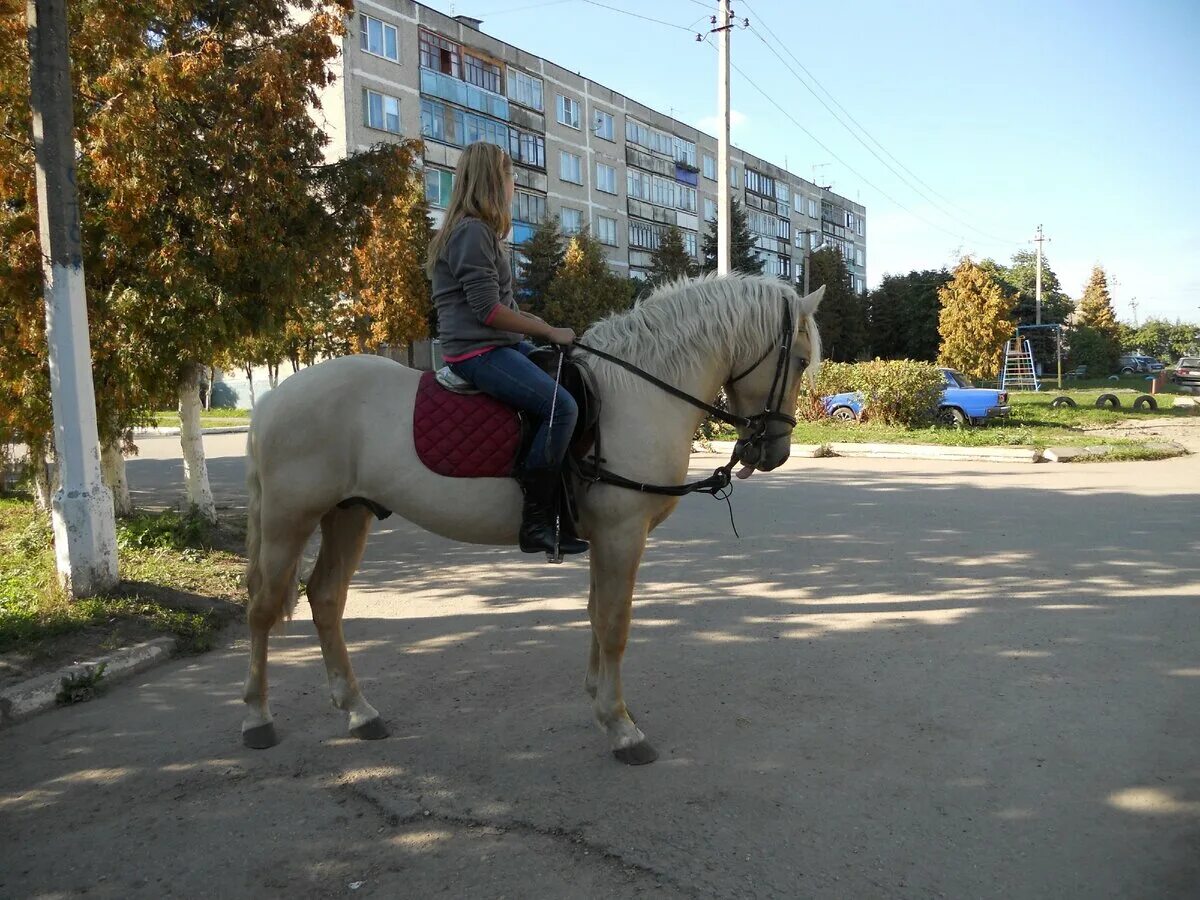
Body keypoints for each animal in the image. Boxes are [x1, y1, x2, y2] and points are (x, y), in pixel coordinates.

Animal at [243, 277, 825, 768]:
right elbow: (614, 624)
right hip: (289, 519)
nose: (774, 452)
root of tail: (272, 398)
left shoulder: (604, 540)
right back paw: (257, 719)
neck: (635, 394)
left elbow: (595, 616)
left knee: (325, 598)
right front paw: (621, 727)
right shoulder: (621, 535)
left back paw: (359, 711)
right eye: (798, 361)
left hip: (348, 514)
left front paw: (602, 703)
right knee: (264, 610)